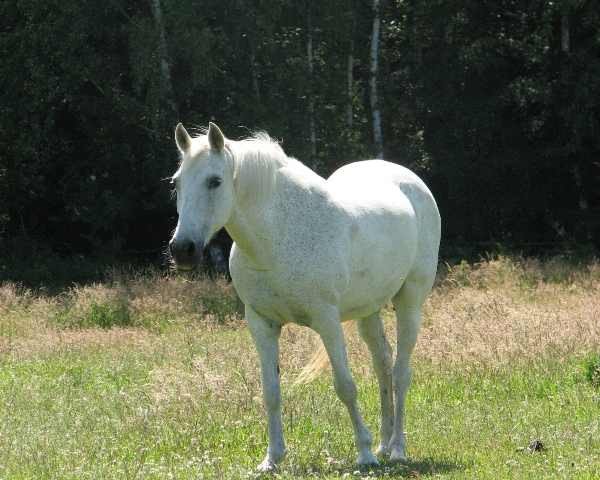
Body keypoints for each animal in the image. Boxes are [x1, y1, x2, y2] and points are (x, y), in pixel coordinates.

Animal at [169, 122, 440, 470]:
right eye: (176, 182)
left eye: (214, 181)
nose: (182, 250)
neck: (277, 236)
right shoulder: (261, 323)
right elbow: (271, 391)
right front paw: (272, 459)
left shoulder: (327, 321)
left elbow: (345, 386)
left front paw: (364, 454)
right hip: (369, 310)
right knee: (383, 364)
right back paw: (384, 443)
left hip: (410, 301)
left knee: (401, 373)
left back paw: (396, 449)